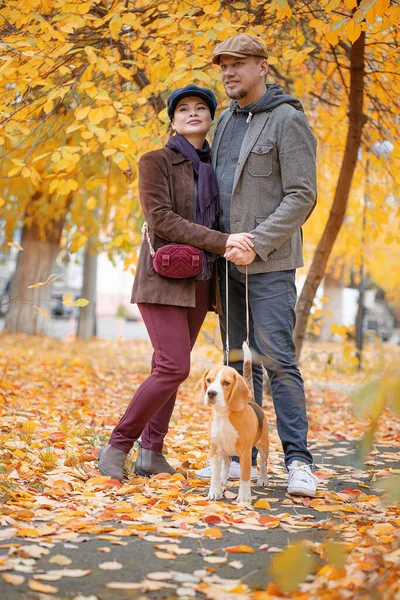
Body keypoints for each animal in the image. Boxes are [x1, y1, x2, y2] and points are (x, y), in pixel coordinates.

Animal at [199, 342, 270, 502]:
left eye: (226, 383)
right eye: (209, 380)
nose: (211, 393)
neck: (224, 414)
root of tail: (252, 401)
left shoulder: (245, 452)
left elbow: (245, 476)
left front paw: (243, 497)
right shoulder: (215, 448)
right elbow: (214, 475)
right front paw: (215, 491)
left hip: (263, 445)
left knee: (263, 462)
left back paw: (263, 479)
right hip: (225, 449)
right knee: (227, 462)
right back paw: (223, 479)